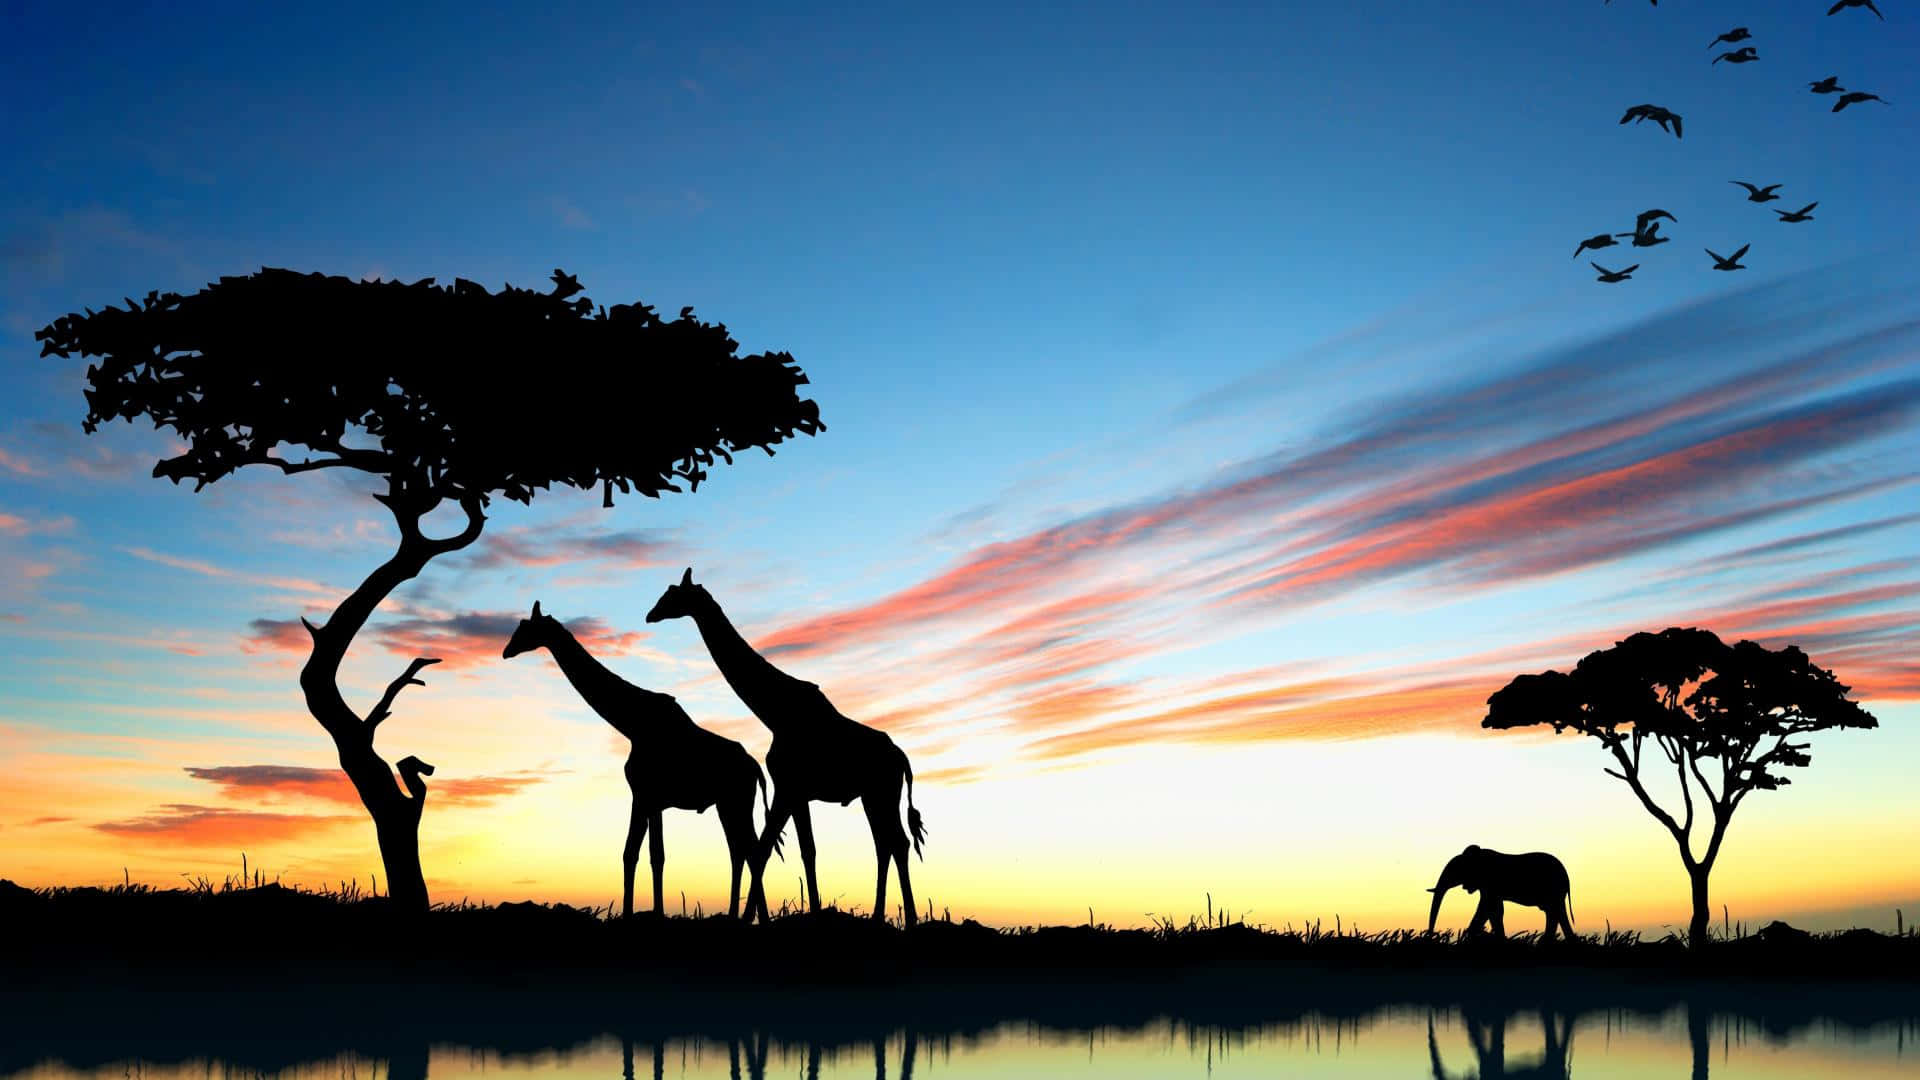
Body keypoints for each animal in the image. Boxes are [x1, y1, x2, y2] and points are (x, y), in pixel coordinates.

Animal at [1426, 845, 1575, 941]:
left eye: (1455, 871)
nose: (1431, 935)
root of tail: (1567, 876)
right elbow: (1492, 909)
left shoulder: (1490, 883)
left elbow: (1488, 908)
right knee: (1555, 912)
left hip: (1554, 890)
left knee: (1554, 912)